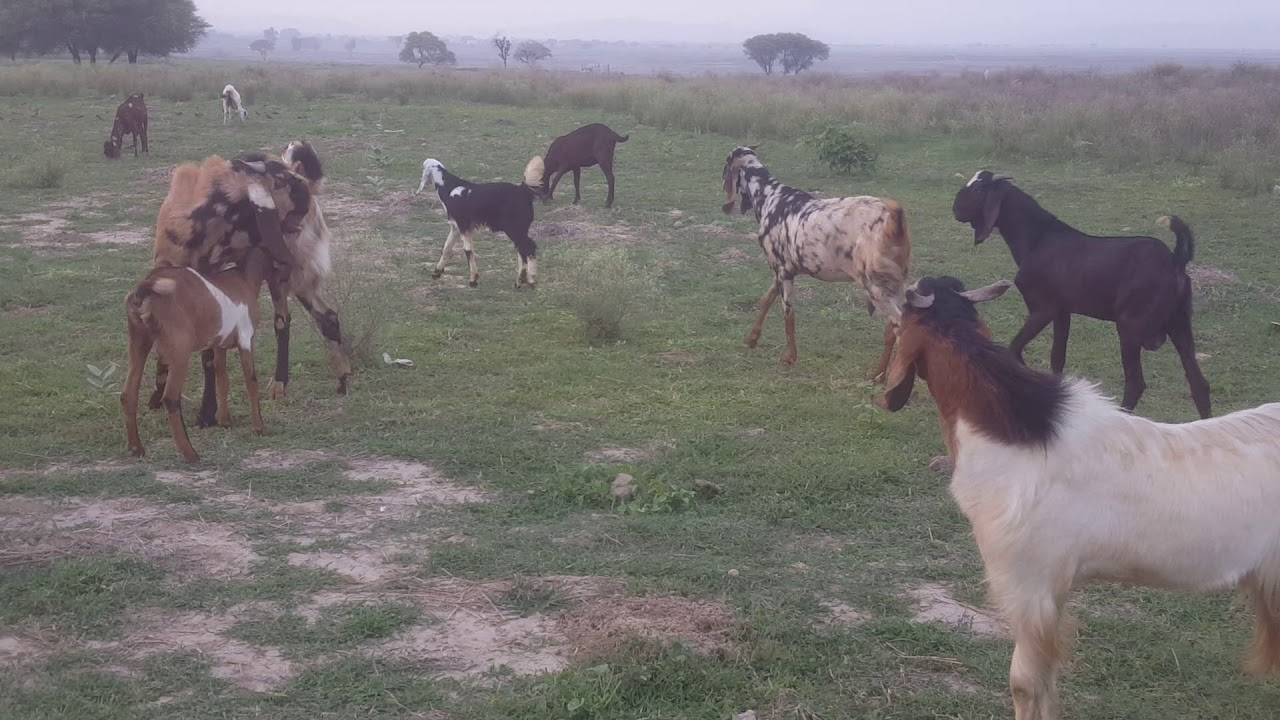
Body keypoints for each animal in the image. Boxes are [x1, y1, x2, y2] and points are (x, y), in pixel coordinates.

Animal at [122, 248, 275, 463]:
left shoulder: (219, 345)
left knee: (129, 393)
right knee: (170, 397)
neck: (243, 278)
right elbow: (251, 382)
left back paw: (136, 448)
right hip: (180, 350)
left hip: (138, 340)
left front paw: (225, 421)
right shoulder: (246, 338)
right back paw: (189, 452)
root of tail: (147, 286)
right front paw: (259, 428)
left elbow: (222, 380)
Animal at [415, 155, 545, 288]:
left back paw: (527, 279)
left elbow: (468, 250)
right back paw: (525, 280)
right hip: (521, 228)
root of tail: (523, 190)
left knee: (527, 247)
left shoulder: (463, 225)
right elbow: (446, 248)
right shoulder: (456, 226)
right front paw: (436, 272)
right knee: (523, 249)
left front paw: (473, 279)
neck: (449, 187)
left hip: (514, 227)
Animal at [721, 146, 910, 377]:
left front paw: (789, 357)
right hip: (895, 284)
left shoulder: (784, 273)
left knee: (898, 326)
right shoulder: (782, 269)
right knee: (893, 329)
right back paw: (880, 374)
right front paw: (752, 339)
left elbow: (788, 314)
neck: (771, 197)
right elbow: (766, 300)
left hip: (875, 287)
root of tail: (894, 219)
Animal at [877, 274, 1280, 719]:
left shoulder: (1028, 584)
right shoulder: (1052, 589)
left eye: (898, 323)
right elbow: (1048, 682)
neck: (1019, 438)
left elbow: (1025, 683)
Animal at [953, 170, 1210, 418]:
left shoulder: (1042, 310)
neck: (1038, 238)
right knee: (1199, 384)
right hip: (1179, 324)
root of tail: (1175, 261)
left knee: (1136, 383)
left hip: (1130, 326)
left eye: (979, 189)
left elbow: (1014, 349)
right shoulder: (1062, 312)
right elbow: (1057, 358)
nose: (955, 208)